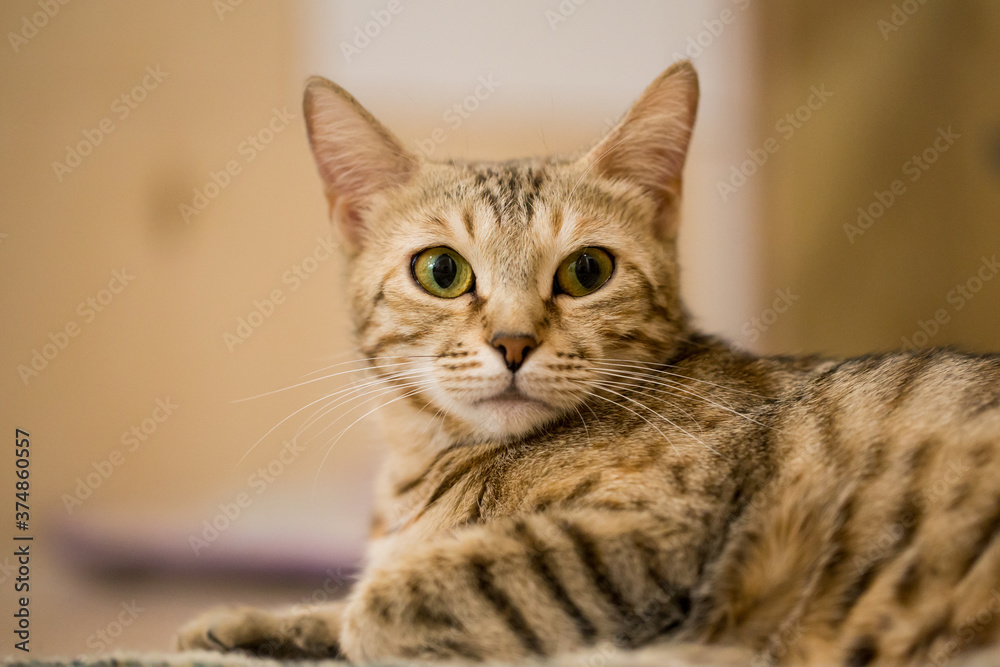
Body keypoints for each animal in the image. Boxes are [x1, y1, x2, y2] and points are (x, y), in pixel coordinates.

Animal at [176, 60, 1000, 664]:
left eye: (587, 271)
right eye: (442, 271)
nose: (513, 341)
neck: (427, 464)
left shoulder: (649, 534)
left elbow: (397, 600)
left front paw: (351, 620)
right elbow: (343, 601)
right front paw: (245, 622)